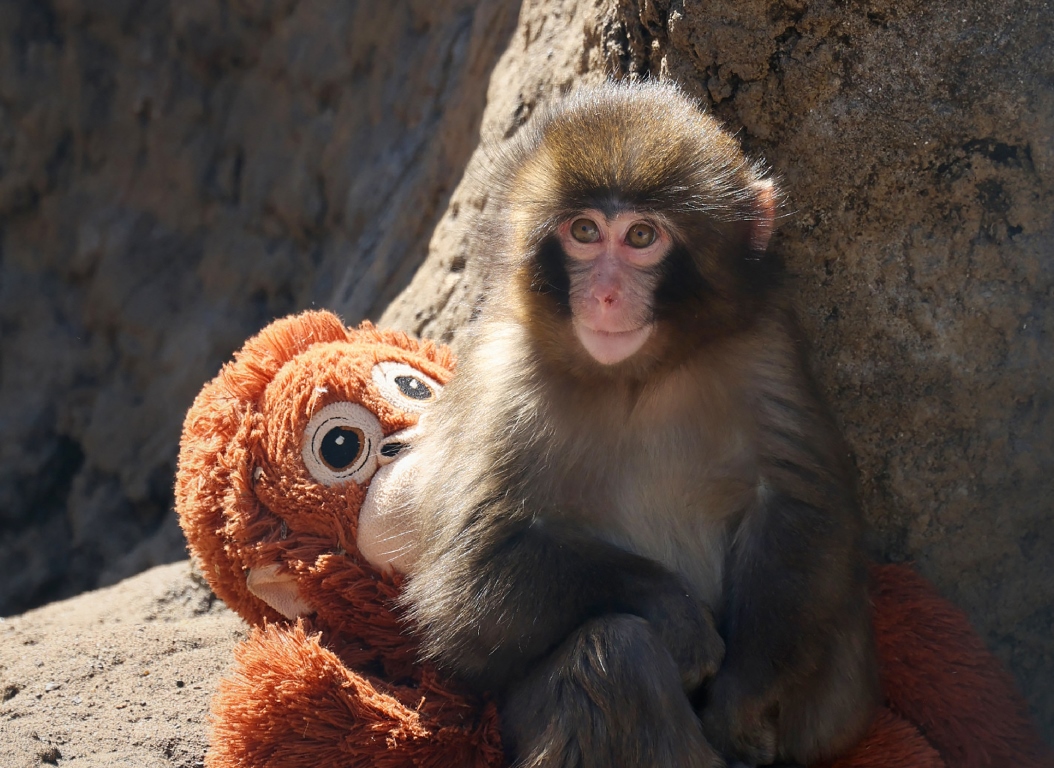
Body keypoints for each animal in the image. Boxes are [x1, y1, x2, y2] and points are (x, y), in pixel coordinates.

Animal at [401, 80, 880, 768]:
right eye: (583, 231)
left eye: (641, 236)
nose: (604, 295)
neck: (637, 377)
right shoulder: (503, 376)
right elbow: (468, 581)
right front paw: (673, 611)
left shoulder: (765, 344)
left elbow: (798, 506)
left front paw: (741, 700)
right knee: (615, 655)